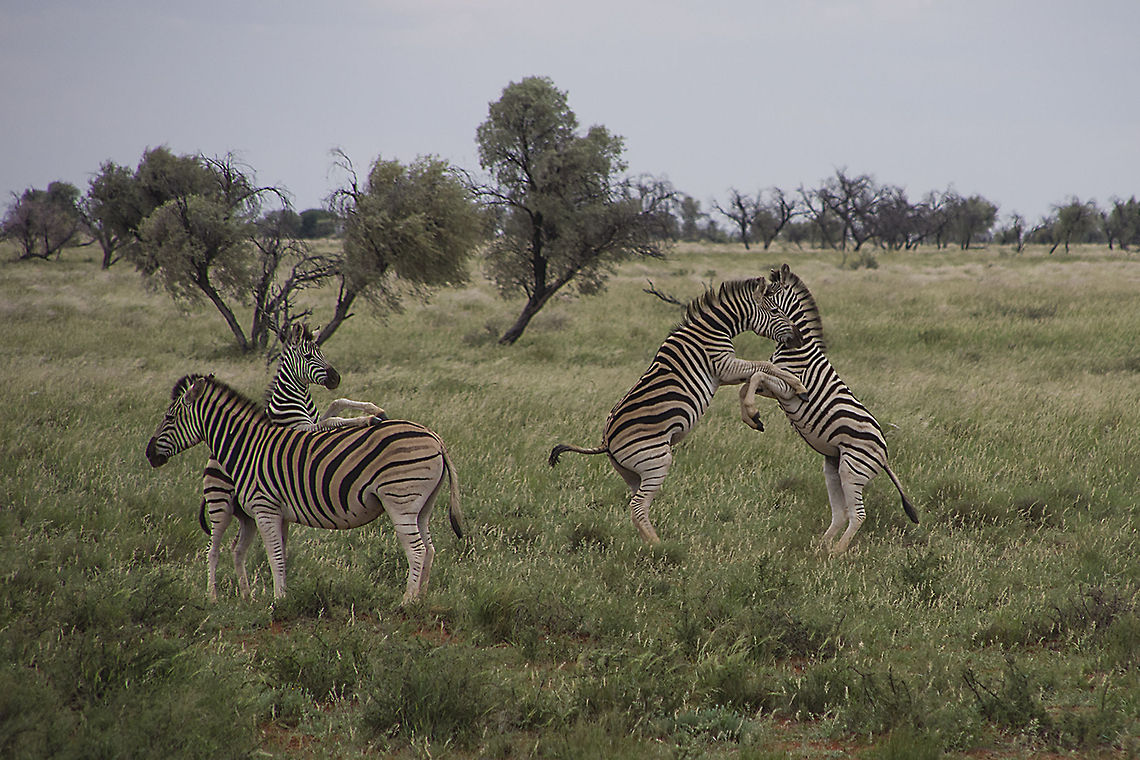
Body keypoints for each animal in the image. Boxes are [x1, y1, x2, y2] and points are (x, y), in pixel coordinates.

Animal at [148, 374, 463, 604]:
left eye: (170, 418)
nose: (150, 455)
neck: (247, 447)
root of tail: (435, 438)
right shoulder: (272, 512)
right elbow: (281, 555)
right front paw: (283, 596)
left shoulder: (265, 509)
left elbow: (274, 556)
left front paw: (278, 602)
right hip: (422, 505)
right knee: (430, 549)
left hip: (400, 500)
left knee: (418, 550)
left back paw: (406, 601)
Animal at [200, 322, 385, 601]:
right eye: (308, 357)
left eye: (322, 352)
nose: (336, 379)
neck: (297, 401)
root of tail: (210, 464)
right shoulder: (302, 430)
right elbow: (334, 420)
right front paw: (367, 419)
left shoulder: (315, 420)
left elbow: (336, 403)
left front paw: (374, 409)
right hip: (221, 502)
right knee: (213, 549)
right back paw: (212, 597)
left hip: (246, 512)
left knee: (236, 547)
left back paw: (246, 595)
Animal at [549, 277, 808, 544]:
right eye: (775, 311)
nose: (799, 338)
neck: (715, 328)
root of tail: (605, 441)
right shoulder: (724, 365)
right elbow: (766, 365)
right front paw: (798, 386)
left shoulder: (724, 373)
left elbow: (756, 376)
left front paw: (753, 414)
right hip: (656, 461)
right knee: (638, 506)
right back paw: (660, 547)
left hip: (633, 472)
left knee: (637, 506)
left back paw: (649, 543)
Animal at [738, 264, 918, 554]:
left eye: (770, 301)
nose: (750, 310)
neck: (795, 347)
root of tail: (884, 454)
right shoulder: (776, 386)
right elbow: (749, 382)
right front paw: (750, 415)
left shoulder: (788, 387)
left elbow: (755, 376)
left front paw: (751, 413)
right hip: (834, 467)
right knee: (841, 513)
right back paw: (820, 549)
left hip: (852, 469)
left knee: (858, 515)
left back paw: (836, 554)